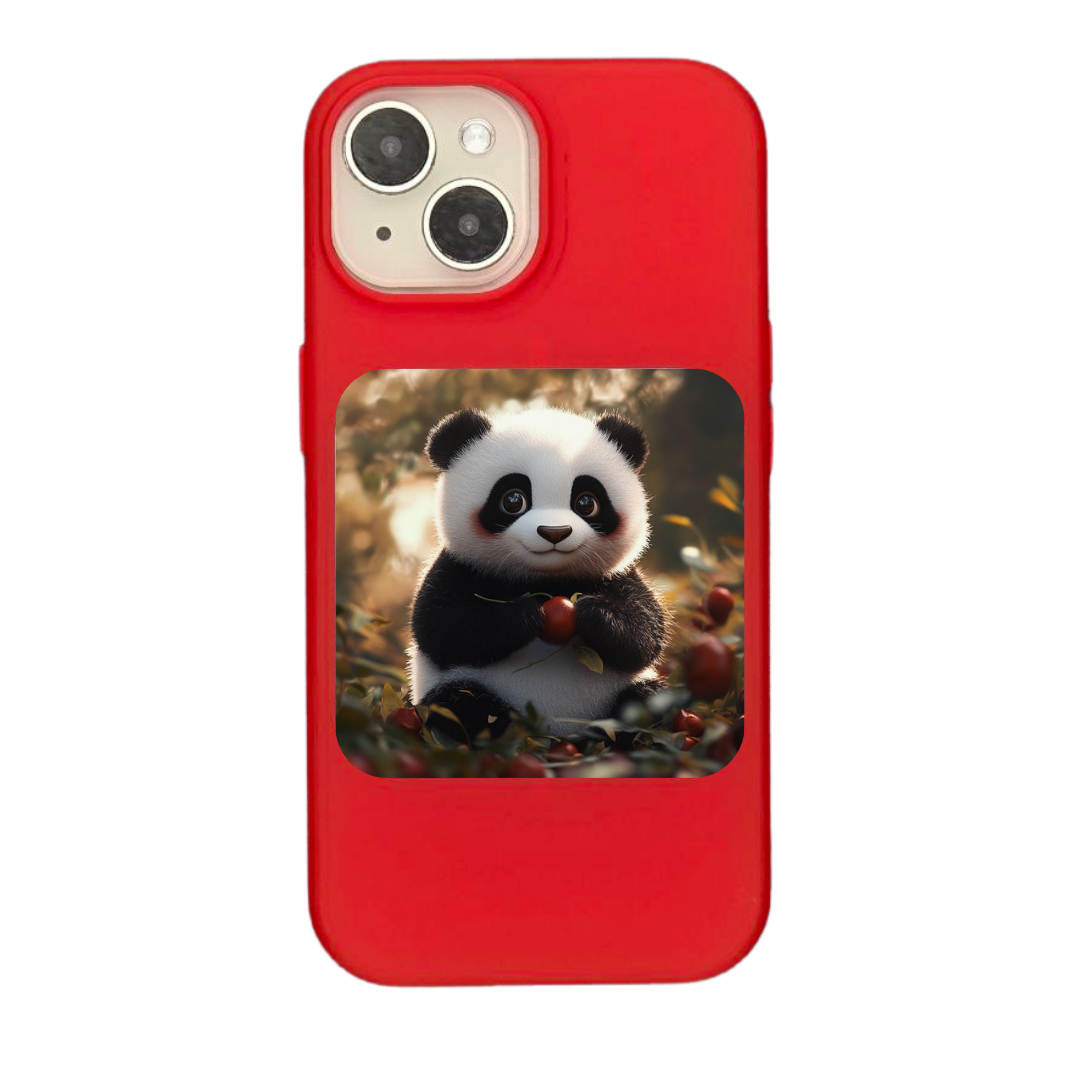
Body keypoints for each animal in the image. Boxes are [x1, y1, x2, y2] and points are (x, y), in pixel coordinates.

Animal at [407, 406, 670, 739]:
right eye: (513, 500)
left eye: (586, 503)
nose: (554, 532)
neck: (547, 579)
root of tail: (558, 732)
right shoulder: (459, 566)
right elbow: (442, 626)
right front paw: (525, 615)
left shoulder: (617, 576)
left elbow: (645, 633)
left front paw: (595, 614)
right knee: (458, 704)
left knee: (649, 701)